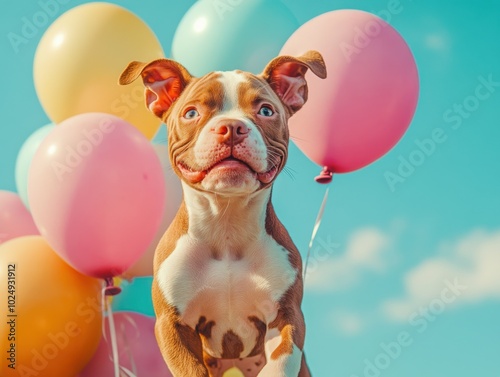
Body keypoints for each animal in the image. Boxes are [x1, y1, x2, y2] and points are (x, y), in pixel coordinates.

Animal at [119, 50, 326, 376]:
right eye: (191, 113)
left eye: (266, 110)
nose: (231, 127)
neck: (226, 225)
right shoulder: (172, 324)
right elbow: (191, 369)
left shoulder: (287, 316)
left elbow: (281, 360)